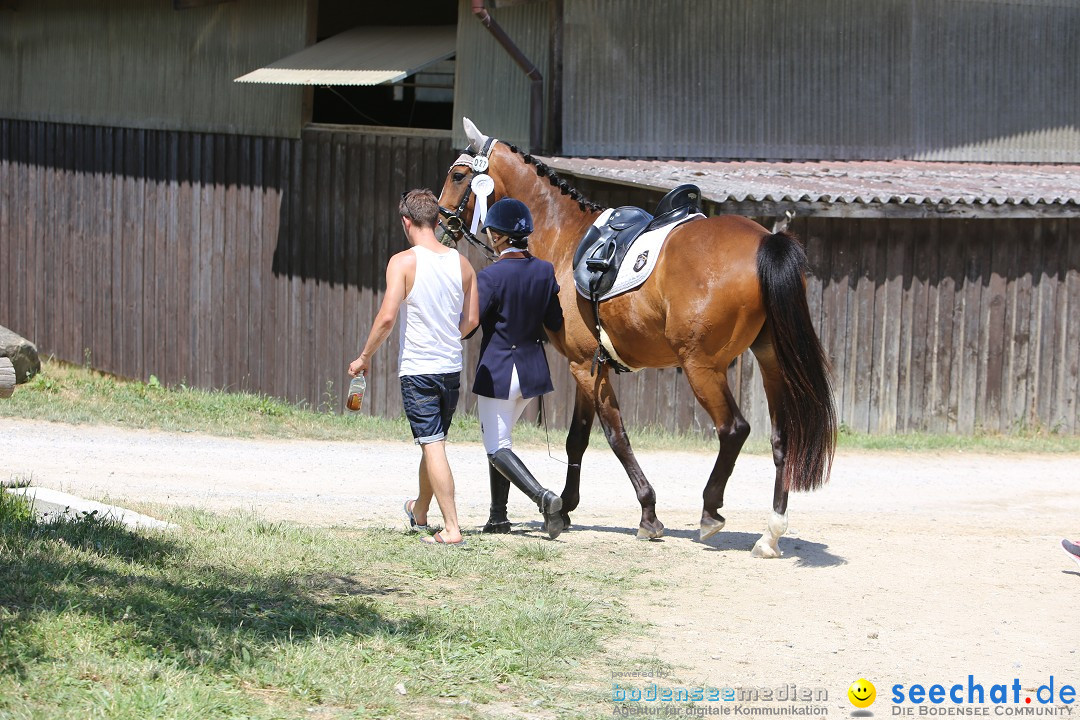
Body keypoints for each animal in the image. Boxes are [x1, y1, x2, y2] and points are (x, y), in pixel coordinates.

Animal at [434, 119, 838, 557]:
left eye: (458, 176)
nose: (440, 226)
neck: (564, 236)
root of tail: (766, 240)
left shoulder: (585, 368)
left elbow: (616, 437)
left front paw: (647, 514)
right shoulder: (587, 365)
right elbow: (577, 439)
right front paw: (566, 507)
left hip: (701, 367)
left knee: (734, 429)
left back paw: (710, 511)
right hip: (771, 360)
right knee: (782, 439)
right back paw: (771, 532)